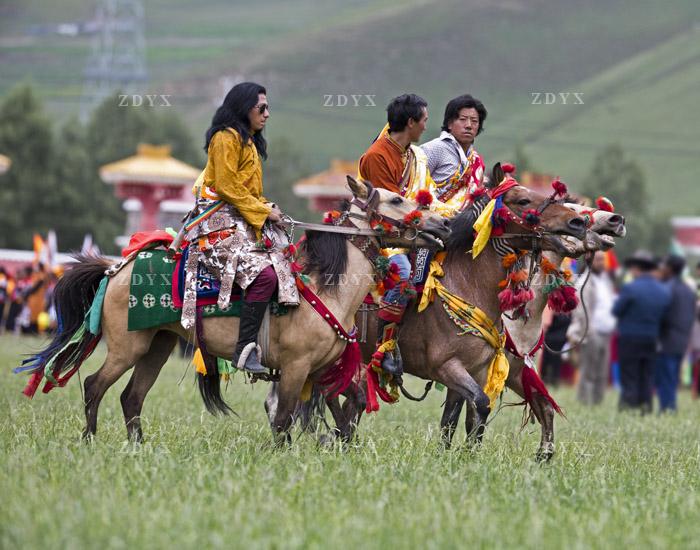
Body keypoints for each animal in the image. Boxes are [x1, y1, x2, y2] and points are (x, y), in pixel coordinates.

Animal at [27, 179, 448, 446]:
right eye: (396, 200)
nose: (442, 223)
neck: (327, 289)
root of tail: (116, 269)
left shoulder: (323, 368)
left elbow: (351, 405)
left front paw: (336, 440)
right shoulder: (295, 368)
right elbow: (284, 417)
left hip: (157, 346)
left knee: (132, 396)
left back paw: (138, 446)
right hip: (126, 347)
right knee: (94, 385)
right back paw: (90, 440)